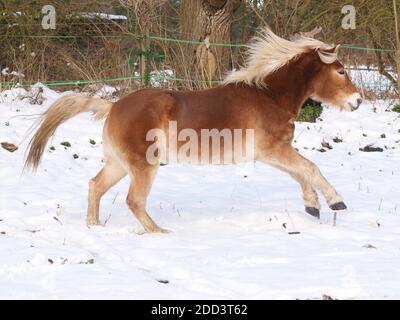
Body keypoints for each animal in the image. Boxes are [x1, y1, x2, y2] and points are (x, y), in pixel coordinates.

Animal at [24, 28, 362, 232]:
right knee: (134, 201)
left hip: (118, 164)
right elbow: (311, 168)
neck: (269, 96)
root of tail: (114, 106)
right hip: (143, 165)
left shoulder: (270, 154)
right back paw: (160, 232)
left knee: (95, 186)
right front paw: (336, 201)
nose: (358, 101)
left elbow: (300, 174)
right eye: (341, 71)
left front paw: (312, 206)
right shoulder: (275, 150)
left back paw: (95, 227)